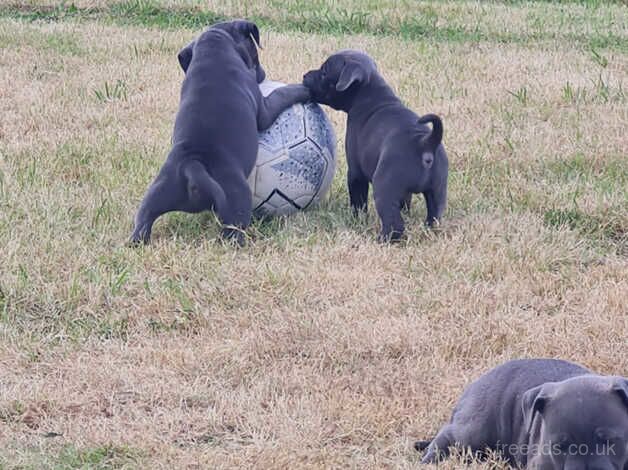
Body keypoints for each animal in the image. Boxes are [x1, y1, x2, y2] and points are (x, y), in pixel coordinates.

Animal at [130, 19, 312, 244]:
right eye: (254, 54)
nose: (263, 73)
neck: (213, 49)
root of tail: (193, 165)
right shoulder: (265, 109)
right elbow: (282, 94)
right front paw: (304, 89)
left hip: (157, 192)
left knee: (143, 219)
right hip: (238, 195)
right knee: (233, 232)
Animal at [302, 50, 446, 242]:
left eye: (324, 72)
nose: (305, 75)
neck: (370, 92)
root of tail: (425, 143)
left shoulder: (356, 173)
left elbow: (358, 202)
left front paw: (357, 220)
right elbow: (404, 201)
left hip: (384, 187)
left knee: (394, 225)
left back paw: (381, 240)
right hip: (437, 192)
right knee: (434, 216)